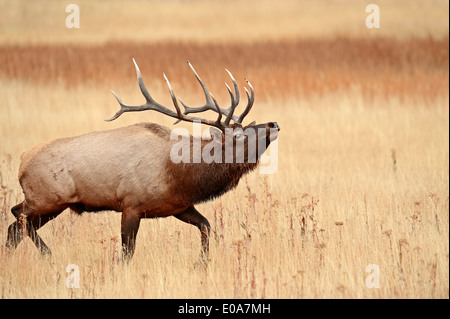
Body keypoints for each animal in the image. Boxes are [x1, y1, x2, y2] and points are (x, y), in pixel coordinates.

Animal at [5, 59, 280, 262]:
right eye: (240, 135)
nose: (273, 123)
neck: (180, 176)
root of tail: (22, 160)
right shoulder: (131, 204)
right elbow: (127, 253)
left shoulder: (179, 206)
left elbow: (206, 226)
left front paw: (201, 263)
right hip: (46, 198)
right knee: (17, 215)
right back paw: (48, 254)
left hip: (52, 204)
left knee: (14, 228)